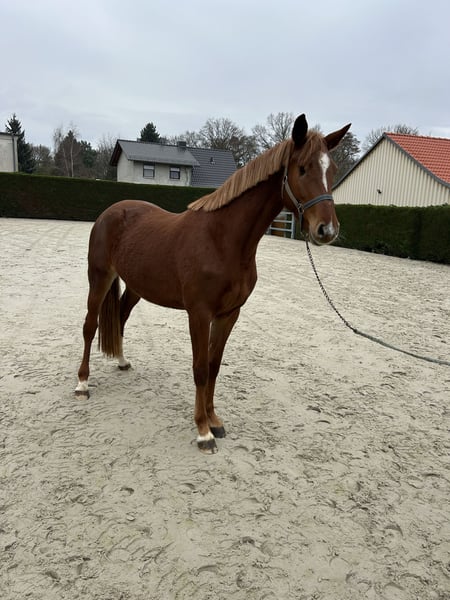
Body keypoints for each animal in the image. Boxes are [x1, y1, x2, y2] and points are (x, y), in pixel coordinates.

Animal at [75, 114, 351, 453]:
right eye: (302, 168)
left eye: (332, 170)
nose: (327, 230)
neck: (222, 240)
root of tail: (111, 212)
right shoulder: (199, 313)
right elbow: (200, 368)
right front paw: (202, 432)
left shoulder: (229, 314)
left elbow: (215, 366)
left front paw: (214, 420)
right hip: (99, 278)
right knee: (90, 326)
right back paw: (82, 384)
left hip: (136, 287)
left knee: (121, 319)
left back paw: (123, 362)